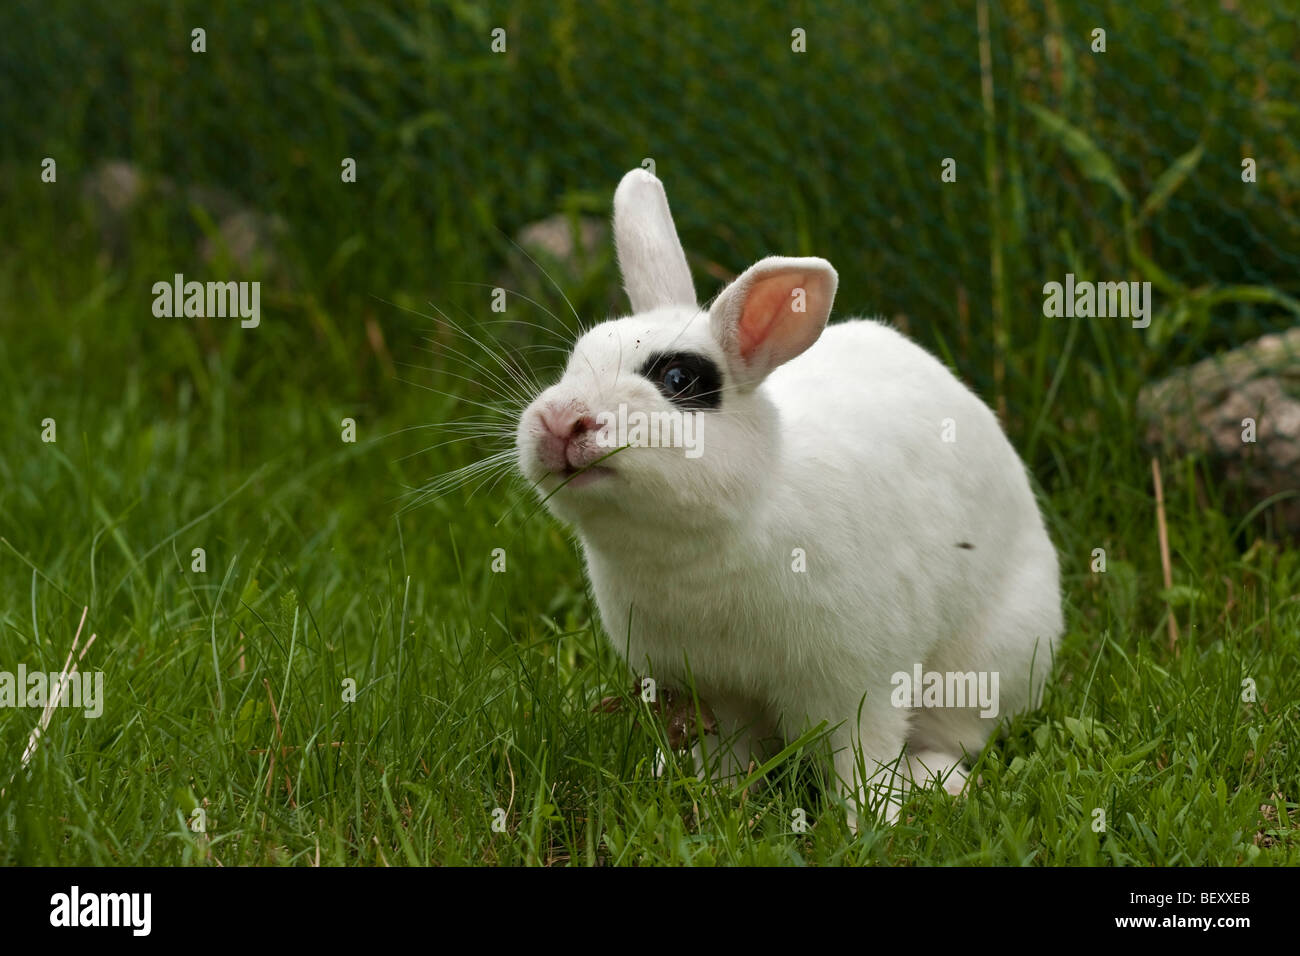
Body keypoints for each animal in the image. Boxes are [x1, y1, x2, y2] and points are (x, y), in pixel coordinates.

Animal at [514, 168, 1063, 828]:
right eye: (575, 360)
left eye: (679, 380)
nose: (558, 421)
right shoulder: (717, 694)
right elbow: (727, 757)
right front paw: (718, 804)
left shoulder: (859, 683)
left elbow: (863, 757)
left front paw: (870, 825)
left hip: (985, 665)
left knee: (958, 735)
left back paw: (936, 781)